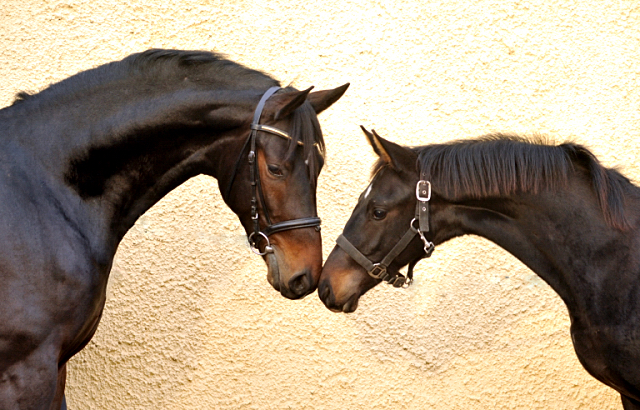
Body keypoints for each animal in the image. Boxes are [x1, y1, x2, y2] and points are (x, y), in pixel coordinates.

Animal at [0, 48, 348, 410]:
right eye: (276, 169)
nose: (306, 275)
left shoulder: (57, 368)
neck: (45, 189)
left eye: (318, 167)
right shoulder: (28, 370)